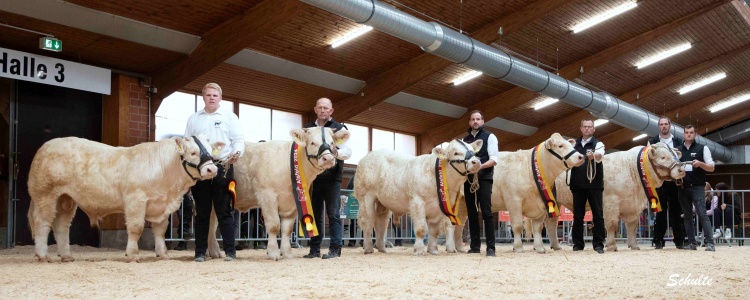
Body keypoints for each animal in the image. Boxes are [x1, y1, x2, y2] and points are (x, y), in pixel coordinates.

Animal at [27, 135, 222, 262]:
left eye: (212, 152)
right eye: (193, 153)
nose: (212, 169)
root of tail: (46, 146)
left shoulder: (162, 205)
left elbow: (160, 230)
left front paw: (163, 254)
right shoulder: (135, 200)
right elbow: (136, 228)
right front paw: (133, 254)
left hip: (66, 199)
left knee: (61, 226)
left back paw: (66, 256)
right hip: (45, 194)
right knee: (43, 222)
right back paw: (43, 255)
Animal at [207, 126, 352, 260]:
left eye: (332, 143)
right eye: (312, 143)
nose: (328, 159)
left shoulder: (293, 202)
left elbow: (287, 229)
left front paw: (287, 253)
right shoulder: (267, 196)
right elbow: (274, 226)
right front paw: (273, 253)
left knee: (212, 223)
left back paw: (214, 252)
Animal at [352, 139, 482, 255]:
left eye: (473, 151)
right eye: (456, 153)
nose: (476, 162)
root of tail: (367, 156)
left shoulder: (439, 207)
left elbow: (434, 231)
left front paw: (433, 250)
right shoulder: (417, 202)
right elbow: (421, 229)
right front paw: (419, 250)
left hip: (382, 202)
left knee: (381, 223)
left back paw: (382, 248)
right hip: (366, 197)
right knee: (367, 221)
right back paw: (368, 248)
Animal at [452, 134, 588, 253]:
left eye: (569, 145)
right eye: (560, 146)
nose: (581, 156)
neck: (530, 169)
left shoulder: (541, 203)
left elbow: (538, 228)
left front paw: (540, 248)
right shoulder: (514, 200)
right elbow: (517, 226)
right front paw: (518, 248)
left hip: (463, 205)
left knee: (459, 225)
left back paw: (459, 248)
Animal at [548, 142, 688, 251]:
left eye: (674, 155)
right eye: (663, 157)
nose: (681, 170)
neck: (632, 169)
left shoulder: (632, 206)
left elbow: (632, 226)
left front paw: (634, 245)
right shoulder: (611, 202)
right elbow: (611, 224)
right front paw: (611, 245)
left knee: (552, 223)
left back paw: (555, 246)